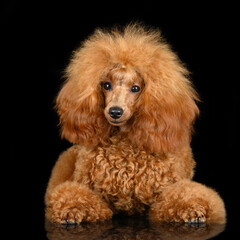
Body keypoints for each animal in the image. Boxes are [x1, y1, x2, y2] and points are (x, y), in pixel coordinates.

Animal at [45, 23, 227, 224]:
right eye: (106, 85)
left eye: (135, 89)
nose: (115, 112)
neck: (125, 146)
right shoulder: (89, 188)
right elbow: (74, 193)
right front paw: (72, 209)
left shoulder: (166, 189)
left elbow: (182, 194)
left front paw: (193, 209)